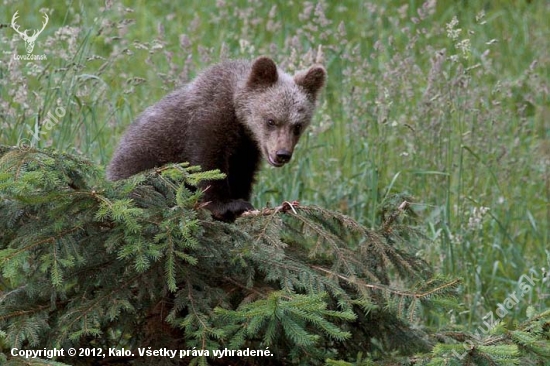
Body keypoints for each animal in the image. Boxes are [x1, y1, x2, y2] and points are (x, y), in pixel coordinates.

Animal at [106, 56, 328, 222]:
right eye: (271, 120)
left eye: (297, 126)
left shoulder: (246, 147)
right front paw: (229, 205)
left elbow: (243, 172)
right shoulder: (208, 122)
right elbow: (208, 165)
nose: (282, 154)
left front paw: (242, 200)